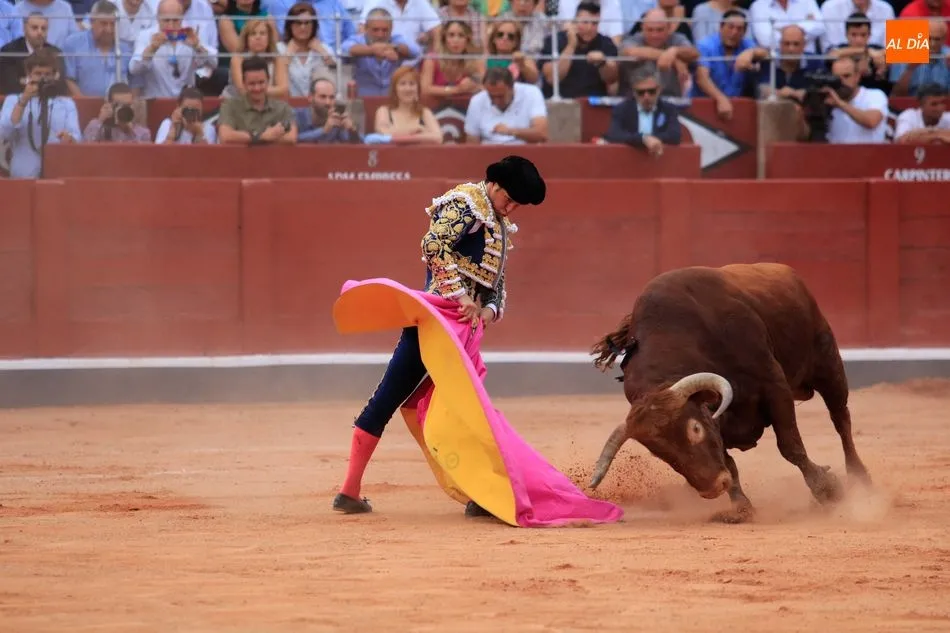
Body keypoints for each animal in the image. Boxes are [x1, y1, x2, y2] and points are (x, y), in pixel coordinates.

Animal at [587, 263, 872, 523]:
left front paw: (827, 490)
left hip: (828, 363)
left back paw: (861, 479)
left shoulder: (774, 385)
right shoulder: (717, 419)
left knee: (841, 420)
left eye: (695, 429)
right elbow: (730, 463)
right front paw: (741, 508)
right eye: (660, 453)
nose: (713, 489)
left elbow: (790, 446)